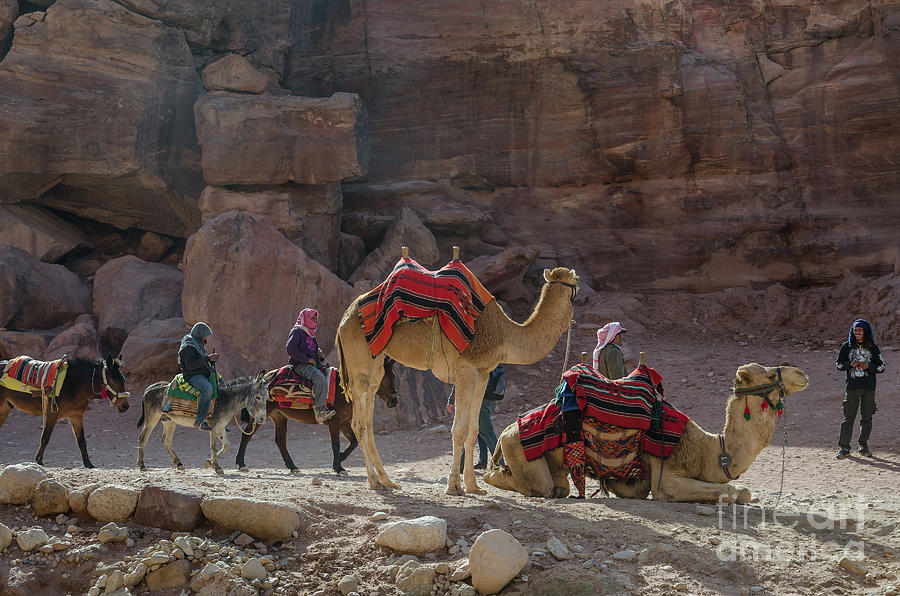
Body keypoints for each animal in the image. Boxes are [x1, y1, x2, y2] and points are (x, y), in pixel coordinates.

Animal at [336, 258, 576, 496]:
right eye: (576, 281)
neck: (503, 334)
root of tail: (344, 319)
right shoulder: (465, 372)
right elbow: (459, 429)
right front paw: (454, 486)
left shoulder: (482, 374)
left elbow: (473, 430)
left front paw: (473, 486)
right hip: (360, 360)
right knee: (359, 423)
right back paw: (374, 482)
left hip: (376, 363)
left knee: (368, 419)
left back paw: (387, 481)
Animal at [486, 364, 808, 502]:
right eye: (770, 374)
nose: (801, 374)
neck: (709, 451)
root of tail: (508, 430)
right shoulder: (666, 473)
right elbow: (734, 490)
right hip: (518, 447)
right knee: (537, 486)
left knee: (559, 487)